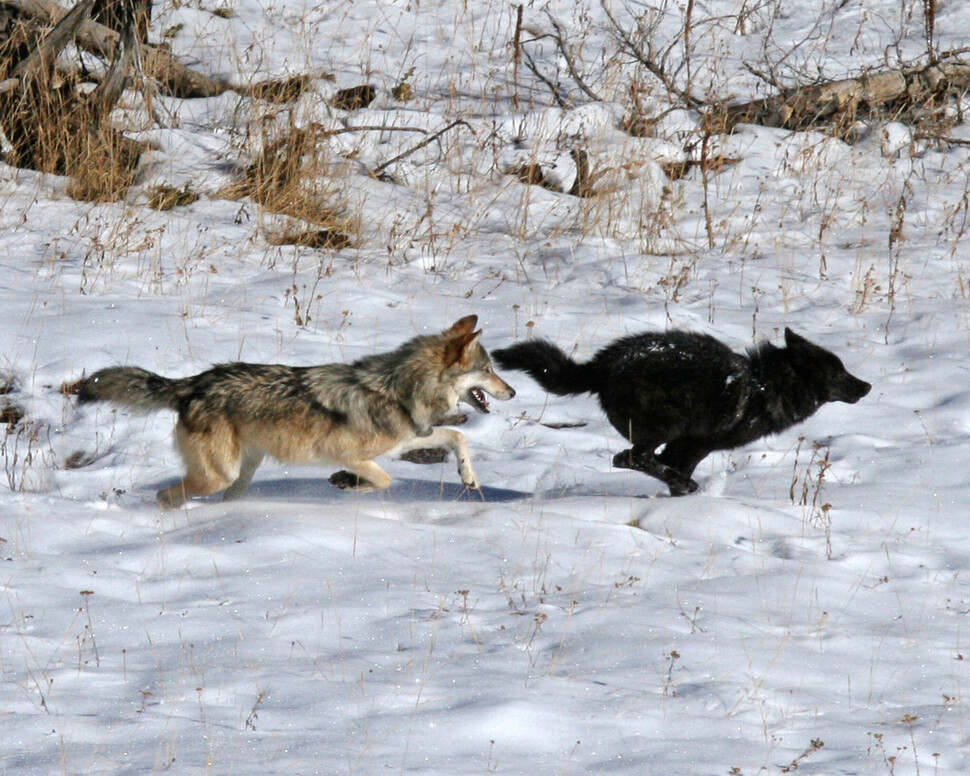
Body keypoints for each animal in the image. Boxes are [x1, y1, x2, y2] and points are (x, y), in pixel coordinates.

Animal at [77, 316, 516, 510]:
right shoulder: (351, 453)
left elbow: (458, 436)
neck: (401, 389)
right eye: (488, 369)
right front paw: (346, 484)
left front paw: (469, 476)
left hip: (238, 476)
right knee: (164, 495)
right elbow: (385, 480)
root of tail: (195, 382)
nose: (512, 391)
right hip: (219, 476)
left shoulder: (408, 439)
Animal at [492, 328, 868, 498]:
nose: (867, 386)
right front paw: (685, 492)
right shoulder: (693, 445)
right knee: (628, 457)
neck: (765, 386)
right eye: (839, 373)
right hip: (667, 427)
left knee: (631, 458)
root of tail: (602, 365)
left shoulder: (682, 449)